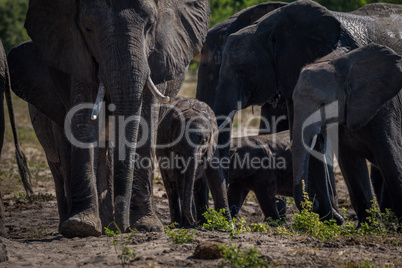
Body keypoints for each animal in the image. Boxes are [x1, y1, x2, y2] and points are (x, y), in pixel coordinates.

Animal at [8, 0, 210, 239]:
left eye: (150, 25)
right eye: (88, 28)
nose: (123, 228)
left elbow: (146, 118)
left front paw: (146, 226)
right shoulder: (76, 55)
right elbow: (82, 119)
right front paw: (81, 226)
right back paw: (81, 222)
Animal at [157, 97, 220, 227]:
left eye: (204, 140)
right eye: (181, 142)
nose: (193, 221)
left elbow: (210, 175)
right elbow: (182, 177)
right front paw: (189, 225)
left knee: (199, 186)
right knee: (172, 188)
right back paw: (177, 224)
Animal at [292, 44, 402, 224]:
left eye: (323, 104)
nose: (314, 202)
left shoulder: (386, 109)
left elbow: (391, 160)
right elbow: (351, 165)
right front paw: (370, 227)